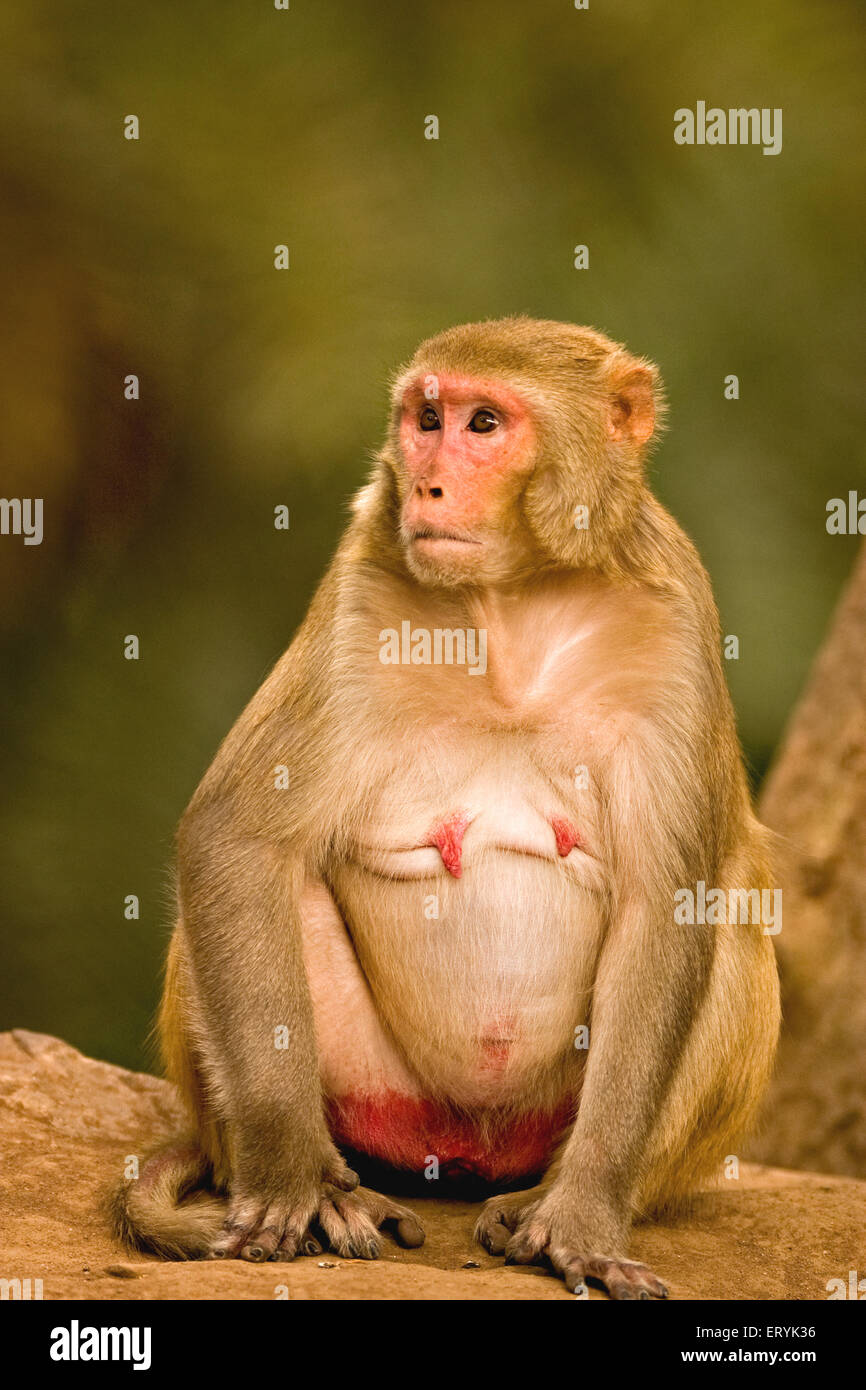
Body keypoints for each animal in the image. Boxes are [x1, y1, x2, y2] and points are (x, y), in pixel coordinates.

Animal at [111, 319, 783, 1295]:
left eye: (484, 423)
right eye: (426, 420)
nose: (428, 483)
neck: (517, 602)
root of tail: (463, 1150)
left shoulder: (680, 623)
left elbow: (673, 905)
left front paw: (583, 1213)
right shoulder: (361, 587)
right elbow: (237, 840)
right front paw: (288, 1180)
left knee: (730, 918)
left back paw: (535, 1198)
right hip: (375, 1092)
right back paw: (313, 1176)